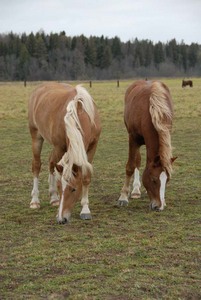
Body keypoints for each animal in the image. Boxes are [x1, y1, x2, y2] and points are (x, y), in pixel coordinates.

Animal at [27, 82, 101, 223]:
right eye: (61, 188)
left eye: (73, 189)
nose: (62, 219)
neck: (79, 114)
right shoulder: (60, 147)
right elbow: (56, 174)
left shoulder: (92, 147)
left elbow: (86, 177)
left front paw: (85, 210)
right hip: (36, 136)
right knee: (37, 165)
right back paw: (35, 200)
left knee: (51, 163)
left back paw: (53, 198)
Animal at [118, 79, 177, 211]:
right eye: (153, 180)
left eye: (167, 180)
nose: (159, 207)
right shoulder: (133, 139)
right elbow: (130, 166)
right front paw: (123, 197)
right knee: (137, 161)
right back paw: (135, 190)